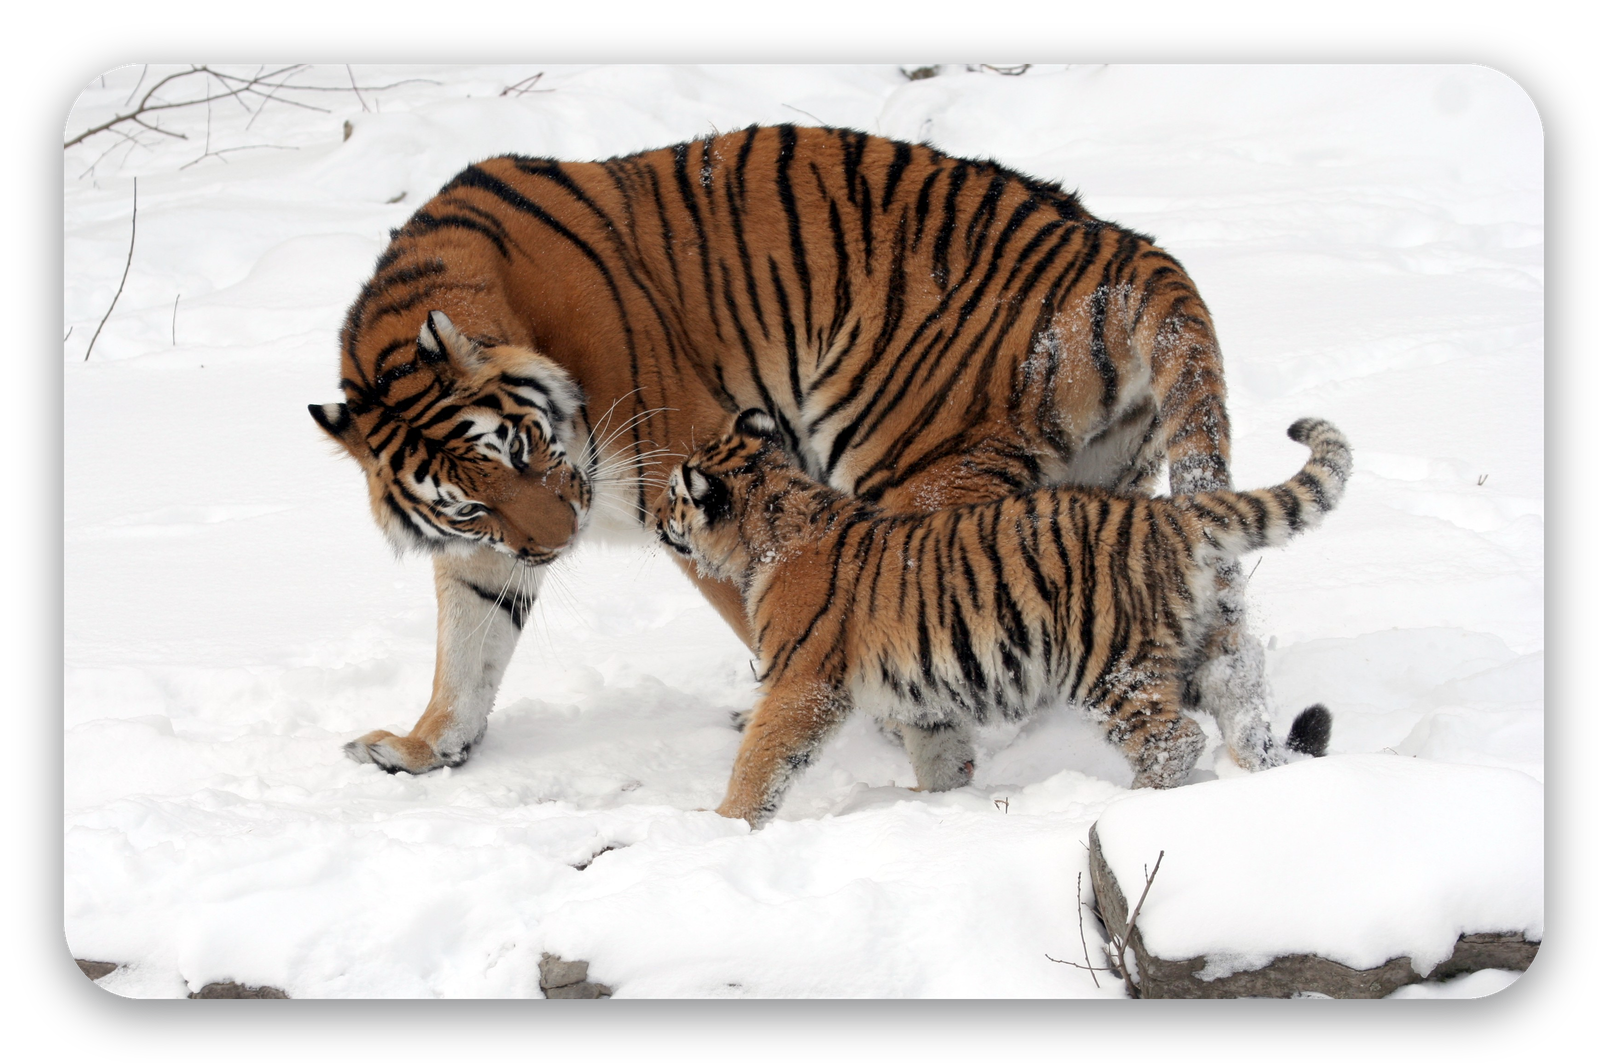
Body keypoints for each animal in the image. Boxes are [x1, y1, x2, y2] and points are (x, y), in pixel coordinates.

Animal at [309, 123, 1281, 778]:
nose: (558, 542)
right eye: (469, 500)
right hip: (1104, 480)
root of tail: (1126, 248)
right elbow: (468, 644)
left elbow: (772, 613)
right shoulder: (488, 548)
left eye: (520, 447)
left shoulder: (686, 468)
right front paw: (423, 746)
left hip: (917, 466)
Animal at [655, 409, 1346, 827]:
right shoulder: (923, 696)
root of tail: (1170, 513)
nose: (656, 518)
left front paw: (722, 825)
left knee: (1175, 739)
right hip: (1205, 650)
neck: (773, 525)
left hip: (1108, 665)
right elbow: (940, 754)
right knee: (1244, 706)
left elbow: (761, 759)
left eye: (673, 496)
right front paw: (934, 803)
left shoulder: (801, 684)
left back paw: (1127, 807)